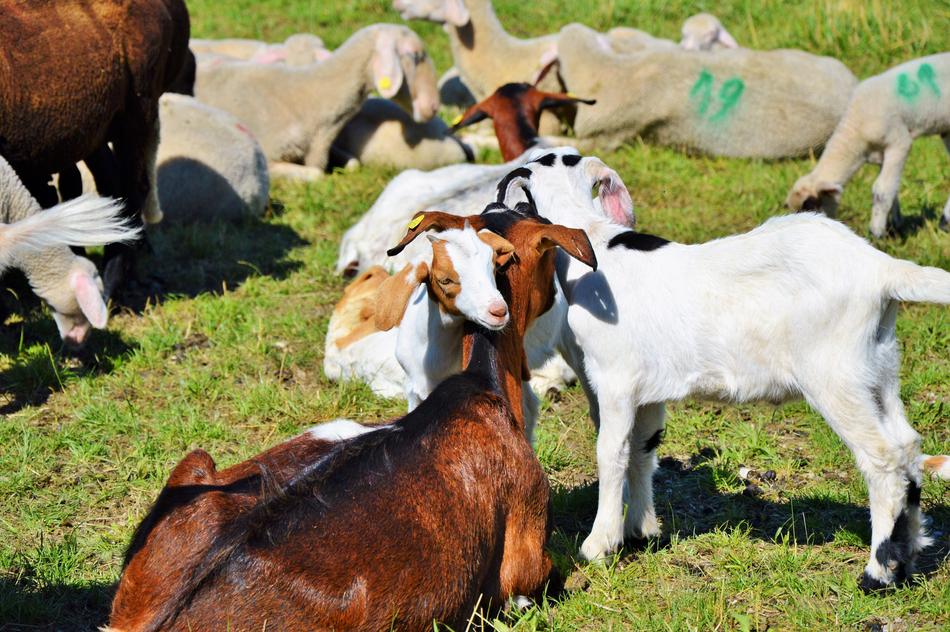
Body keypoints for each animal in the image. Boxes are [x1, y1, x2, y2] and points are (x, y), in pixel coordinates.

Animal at [506, 146, 950, 591]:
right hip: (879, 367)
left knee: (883, 459)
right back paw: (908, 557)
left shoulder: (615, 381)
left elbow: (612, 452)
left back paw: (879, 572)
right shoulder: (647, 392)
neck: (596, 246)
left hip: (836, 376)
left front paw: (600, 545)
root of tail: (882, 270)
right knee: (907, 446)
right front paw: (642, 532)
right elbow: (643, 450)